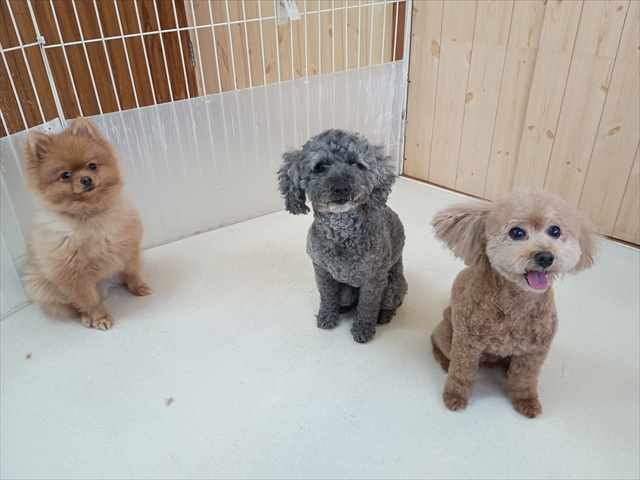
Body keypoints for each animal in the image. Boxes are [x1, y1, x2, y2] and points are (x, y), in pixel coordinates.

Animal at [22, 117, 151, 330]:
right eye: (65, 175)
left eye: (92, 166)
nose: (86, 179)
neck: (89, 214)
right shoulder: (73, 277)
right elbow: (89, 300)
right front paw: (99, 317)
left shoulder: (128, 249)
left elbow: (132, 273)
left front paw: (138, 287)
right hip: (40, 287)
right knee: (73, 306)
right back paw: (86, 317)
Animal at [278, 129, 408, 343]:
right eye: (320, 166)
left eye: (357, 164)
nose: (341, 187)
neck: (341, 231)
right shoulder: (322, 271)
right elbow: (327, 296)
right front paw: (327, 316)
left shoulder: (374, 279)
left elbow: (367, 307)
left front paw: (363, 329)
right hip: (347, 290)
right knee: (348, 300)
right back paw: (343, 307)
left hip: (391, 288)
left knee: (391, 304)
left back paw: (384, 315)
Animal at [430, 189, 599, 417]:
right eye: (517, 233)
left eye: (555, 231)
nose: (545, 256)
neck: (516, 305)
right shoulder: (467, 344)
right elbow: (461, 374)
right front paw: (454, 396)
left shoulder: (535, 351)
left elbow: (525, 380)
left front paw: (526, 402)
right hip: (447, 336)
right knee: (439, 347)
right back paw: (444, 362)